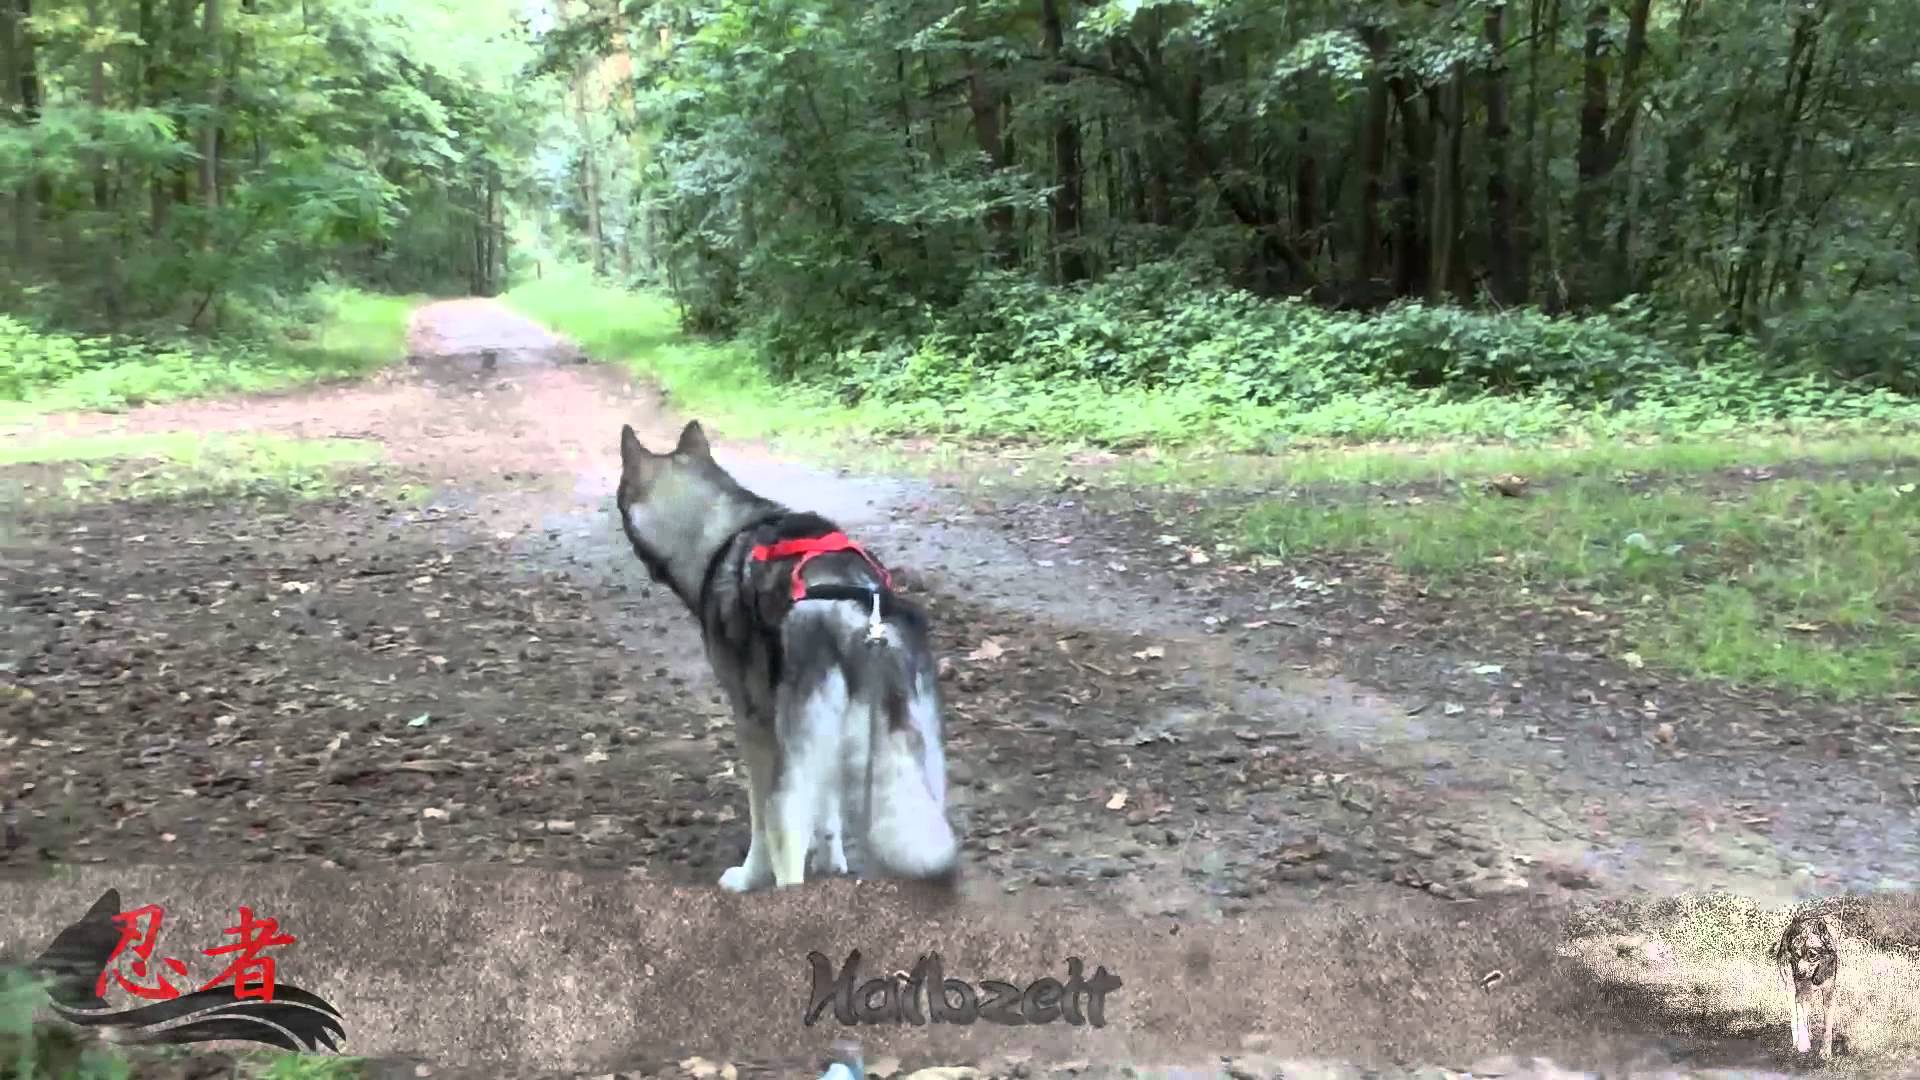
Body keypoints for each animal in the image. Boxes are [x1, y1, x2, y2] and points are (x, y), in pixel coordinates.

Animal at [614, 417, 960, 887]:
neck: (719, 531)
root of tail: (862, 619)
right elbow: (829, 817)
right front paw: (831, 864)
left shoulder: (755, 729)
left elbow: (759, 824)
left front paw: (747, 876)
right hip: (918, 779)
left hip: (794, 773)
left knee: (786, 847)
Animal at [1766, 899, 1843, 1053]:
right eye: (1796, 955)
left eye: (1812, 954)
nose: (1799, 974)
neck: (1817, 976)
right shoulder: (1802, 992)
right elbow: (1800, 1018)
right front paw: (1803, 1044)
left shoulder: (1829, 994)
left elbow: (1827, 1027)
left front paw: (1825, 1052)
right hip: (1791, 989)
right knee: (1795, 1016)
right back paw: (1797, 1040)